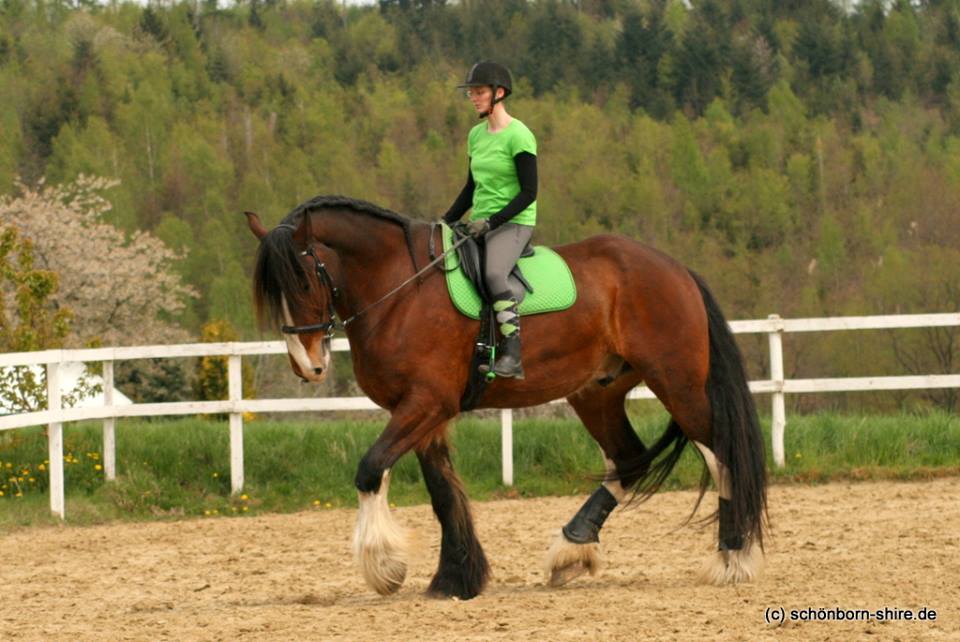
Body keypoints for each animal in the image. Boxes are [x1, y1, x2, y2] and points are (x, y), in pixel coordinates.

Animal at [246, 194, 764, 596]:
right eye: (274, 292)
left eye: (304, 279)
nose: (309, 365)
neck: (400, 291)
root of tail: (675, 269)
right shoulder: (424, 413)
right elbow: (442, 493)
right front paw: (455, 578)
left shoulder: (426, 403)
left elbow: (371, 469)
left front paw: (384, 567)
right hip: (597, 393)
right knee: (629, 459)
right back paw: (570, 550)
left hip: (677, 382)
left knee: (722, 454)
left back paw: (732, 559)